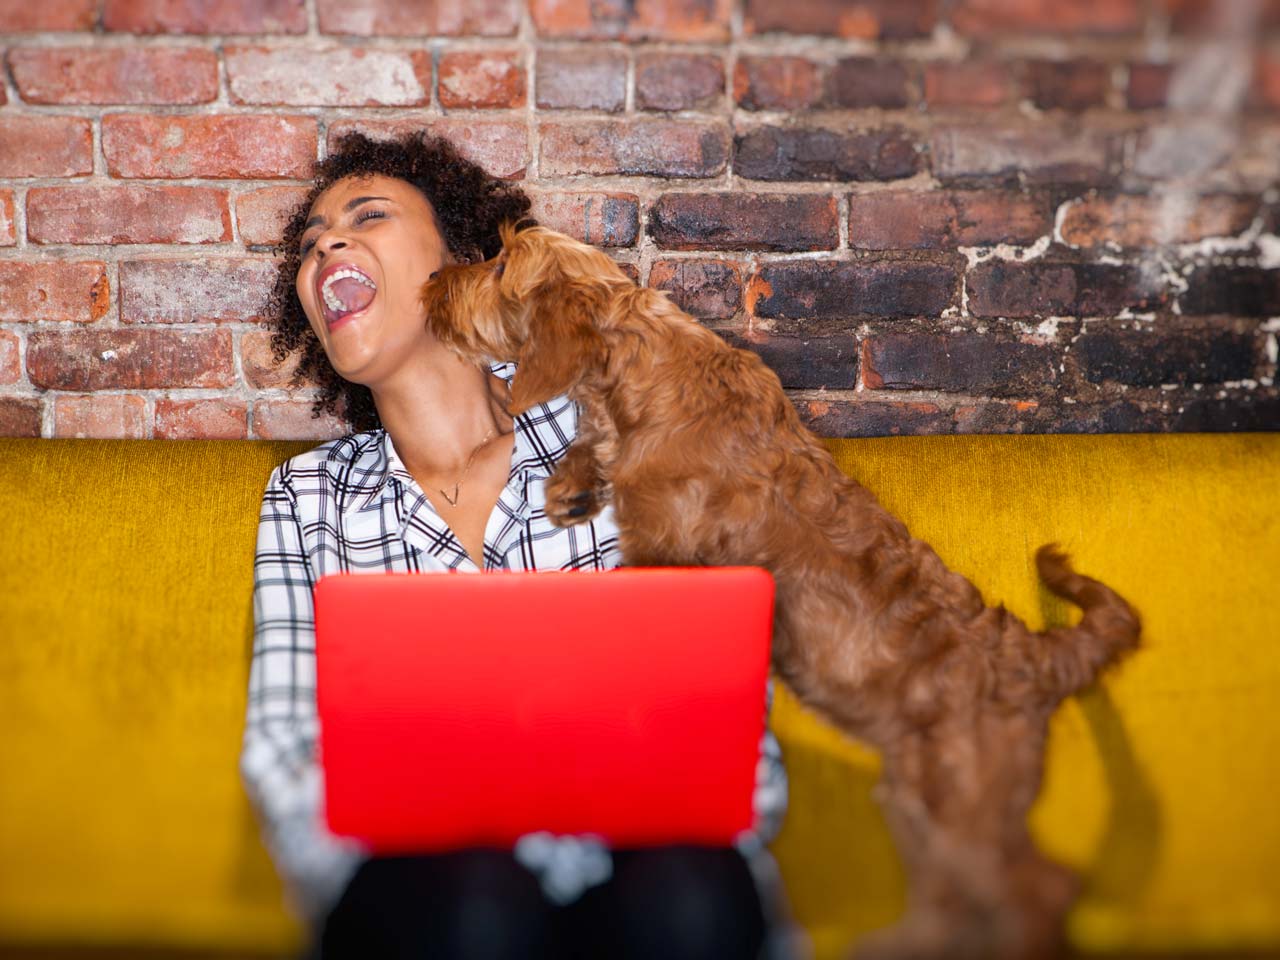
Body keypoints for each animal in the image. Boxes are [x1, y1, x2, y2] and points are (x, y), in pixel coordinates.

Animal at [419, 224, 1141, 960]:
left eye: (499, 266)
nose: (431, 283)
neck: (641, 368)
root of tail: (1030, 656)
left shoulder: (666, 552)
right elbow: (589, 448)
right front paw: (571, 489)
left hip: (962, 801)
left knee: (1033, 889)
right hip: (916, 802)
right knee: (957, 897)